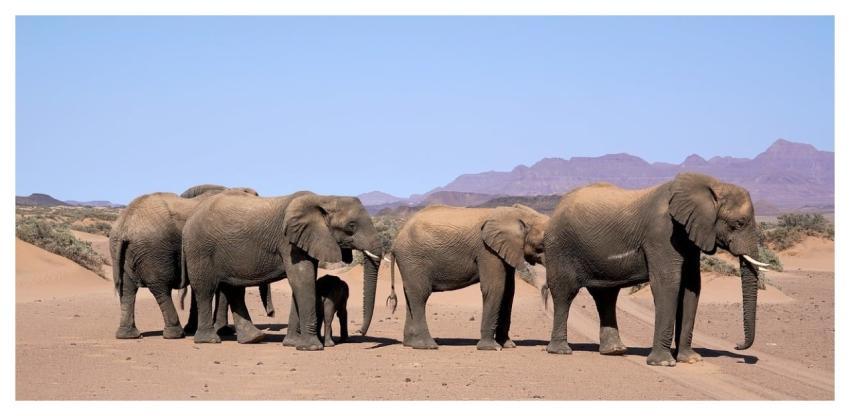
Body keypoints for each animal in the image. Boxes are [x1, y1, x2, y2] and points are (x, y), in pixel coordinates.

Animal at [109, 186, 258, 339]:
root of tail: (126, 223)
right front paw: (223, 331)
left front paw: (196, 329)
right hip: (153, 251)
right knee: (160, 288)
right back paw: (175, 333)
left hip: (122, 251)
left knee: (127, 289)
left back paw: (128, 335)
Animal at [181, 191, 383, 349]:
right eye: (351, 226)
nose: (360, 331)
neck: (325, 198)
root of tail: (190, 218)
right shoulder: (289, 243)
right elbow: (302, 280)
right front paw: (311, 347)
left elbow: (301, 282)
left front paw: (292, 344)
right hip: (200, 248)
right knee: (205, 290)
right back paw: (209, 340)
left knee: (234, 290)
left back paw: (253, 339)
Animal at [386, 204, 549, 350]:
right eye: (542, 244)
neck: (517, 214)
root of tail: (395, 241)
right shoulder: (487, 251)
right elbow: (495, 288)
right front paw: (492, 348)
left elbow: (508, 292)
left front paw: (508, 345)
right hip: (413, 259)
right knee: (420, 294)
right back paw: (428, 346)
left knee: (410, 295)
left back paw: (411, 344)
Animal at [544, 172, 772, 366]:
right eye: (739, 223)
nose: (738, 346)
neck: (712, 186)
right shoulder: (661, 233)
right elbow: (667, 284)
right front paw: (663, 363)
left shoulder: (690, 236)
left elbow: (691, 287)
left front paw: (690, 359)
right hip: (559, 247)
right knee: (564, 294)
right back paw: (561, 351)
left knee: (606, 296)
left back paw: (615, 351)